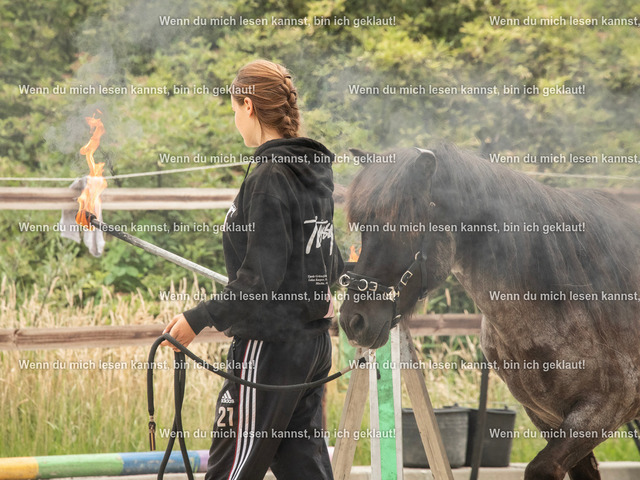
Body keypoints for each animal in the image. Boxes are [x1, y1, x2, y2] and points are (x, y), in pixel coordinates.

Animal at [338, 143, 640, 480]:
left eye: (404, 225)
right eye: (364, 228)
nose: (353, 320)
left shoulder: (604, 409)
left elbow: (541, 467)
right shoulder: (548, 416)